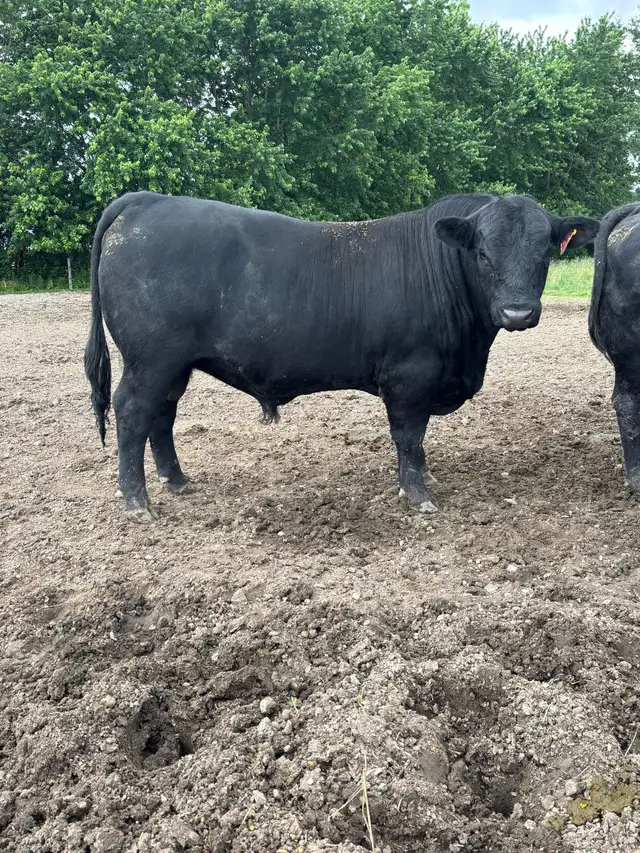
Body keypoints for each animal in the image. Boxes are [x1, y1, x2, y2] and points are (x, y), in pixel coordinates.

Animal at [84, 191, 599, 521]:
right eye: (484, 254)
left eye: (544, 253)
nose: (518, 312)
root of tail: (147, 200)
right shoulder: (410, 376)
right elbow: (409, 437)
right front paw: (418, 495)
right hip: (150, 360)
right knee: (133, 413)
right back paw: (137, 502)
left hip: (173, 366)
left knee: (163, 416)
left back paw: (176, 480)